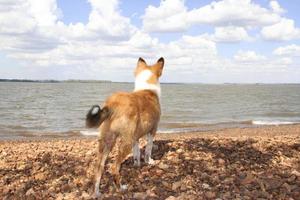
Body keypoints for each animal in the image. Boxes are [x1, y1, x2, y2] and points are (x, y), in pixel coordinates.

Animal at [85, 56, 165, 197]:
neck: (148, 88)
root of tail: (112, 104)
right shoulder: (152, 131)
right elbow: (148, 150)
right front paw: (149, 161)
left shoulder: (135, 137)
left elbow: (137, 153)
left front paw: (137, 164)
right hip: (124, 142)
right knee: (114, 167)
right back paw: (121, 188)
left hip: (107, 142)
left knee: (99, 168)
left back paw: (97, 193)